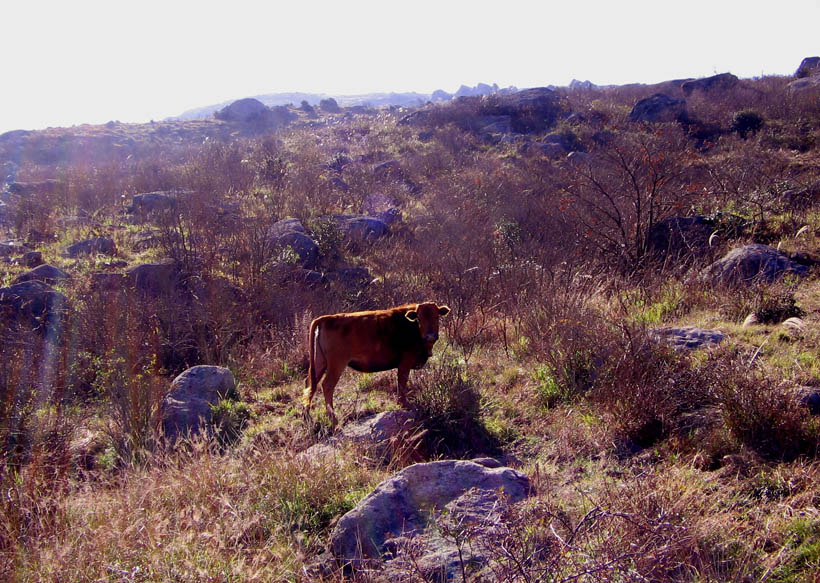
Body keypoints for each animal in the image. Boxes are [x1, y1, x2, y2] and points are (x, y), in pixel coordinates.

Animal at [304, 304, 452, 426]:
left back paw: (307, 417)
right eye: (419, 319)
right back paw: (334, 421)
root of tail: (328, 318)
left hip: (320, 363)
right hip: (337, 365)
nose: (430, 336)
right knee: (327, 385)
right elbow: (402, 383)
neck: (411, 327)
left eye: (436, 316)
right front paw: (404, 404)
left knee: (310, 384)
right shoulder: (405, 363)